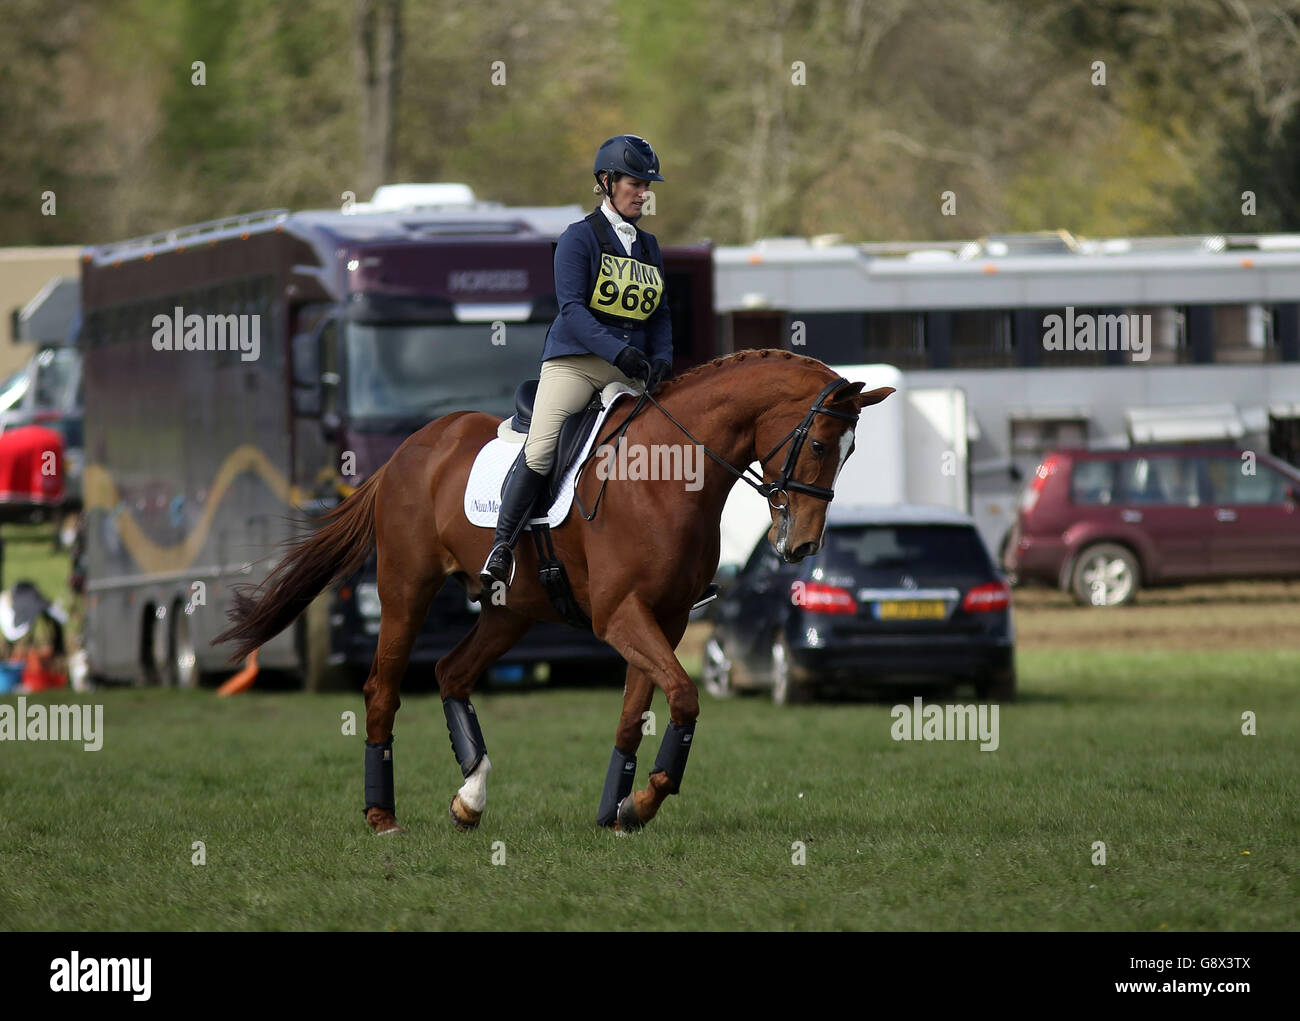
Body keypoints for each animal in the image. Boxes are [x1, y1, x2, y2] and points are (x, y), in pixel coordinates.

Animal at [215, 353, 894, 832]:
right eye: (819, 444)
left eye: (850, 451)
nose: (802, 546)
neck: (669, 473)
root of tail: (411, 448)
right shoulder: (622, 616)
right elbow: (685, 696)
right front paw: (644, 802)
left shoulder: (665, 620)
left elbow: (633, 716)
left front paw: (620, 811)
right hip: (406, 590)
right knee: (383, 688)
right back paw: (383, 817)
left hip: (509, 612)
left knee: (451, 672)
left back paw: (470, 798)